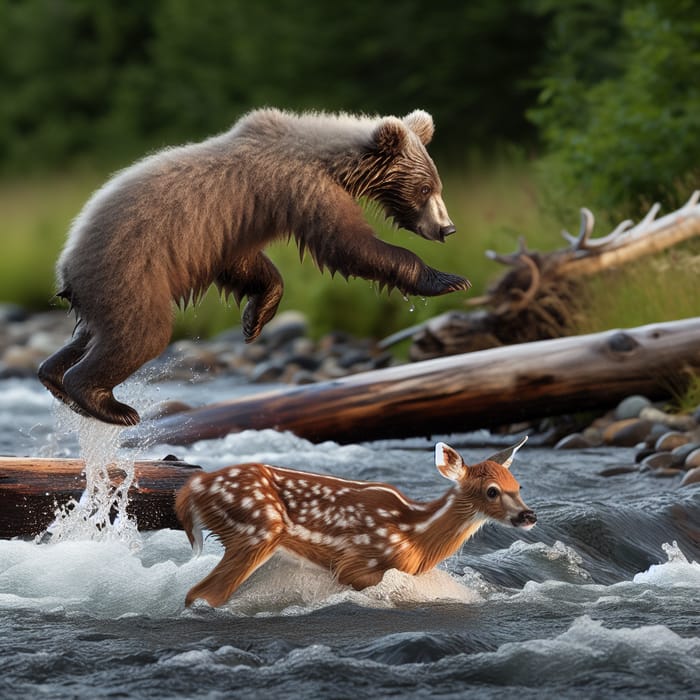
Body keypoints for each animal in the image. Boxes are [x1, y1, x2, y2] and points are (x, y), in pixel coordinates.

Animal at [35, 109, 468, 426]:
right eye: (424, 188)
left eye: (438, 186)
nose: (447, 228)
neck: (330, 160)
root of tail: (65, 264)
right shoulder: (300, 188)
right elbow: (348, 245)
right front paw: (448, 279)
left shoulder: (233, 228)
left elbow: (246, 266)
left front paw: (254, 319)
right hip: (129, 270)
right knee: (141, 335)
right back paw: (108, 404)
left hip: (108, 288)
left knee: (94, 334)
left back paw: (53, 376)